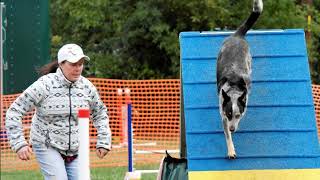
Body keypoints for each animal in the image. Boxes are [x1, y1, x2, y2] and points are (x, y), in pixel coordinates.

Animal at [216, 0, 264, 159]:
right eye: (229, 114)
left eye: (238, 115)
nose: (232, 129)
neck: (233, 90)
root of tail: (238, 35)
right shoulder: (223, 114)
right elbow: (227, 136)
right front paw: (231, 151)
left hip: (249, 61)